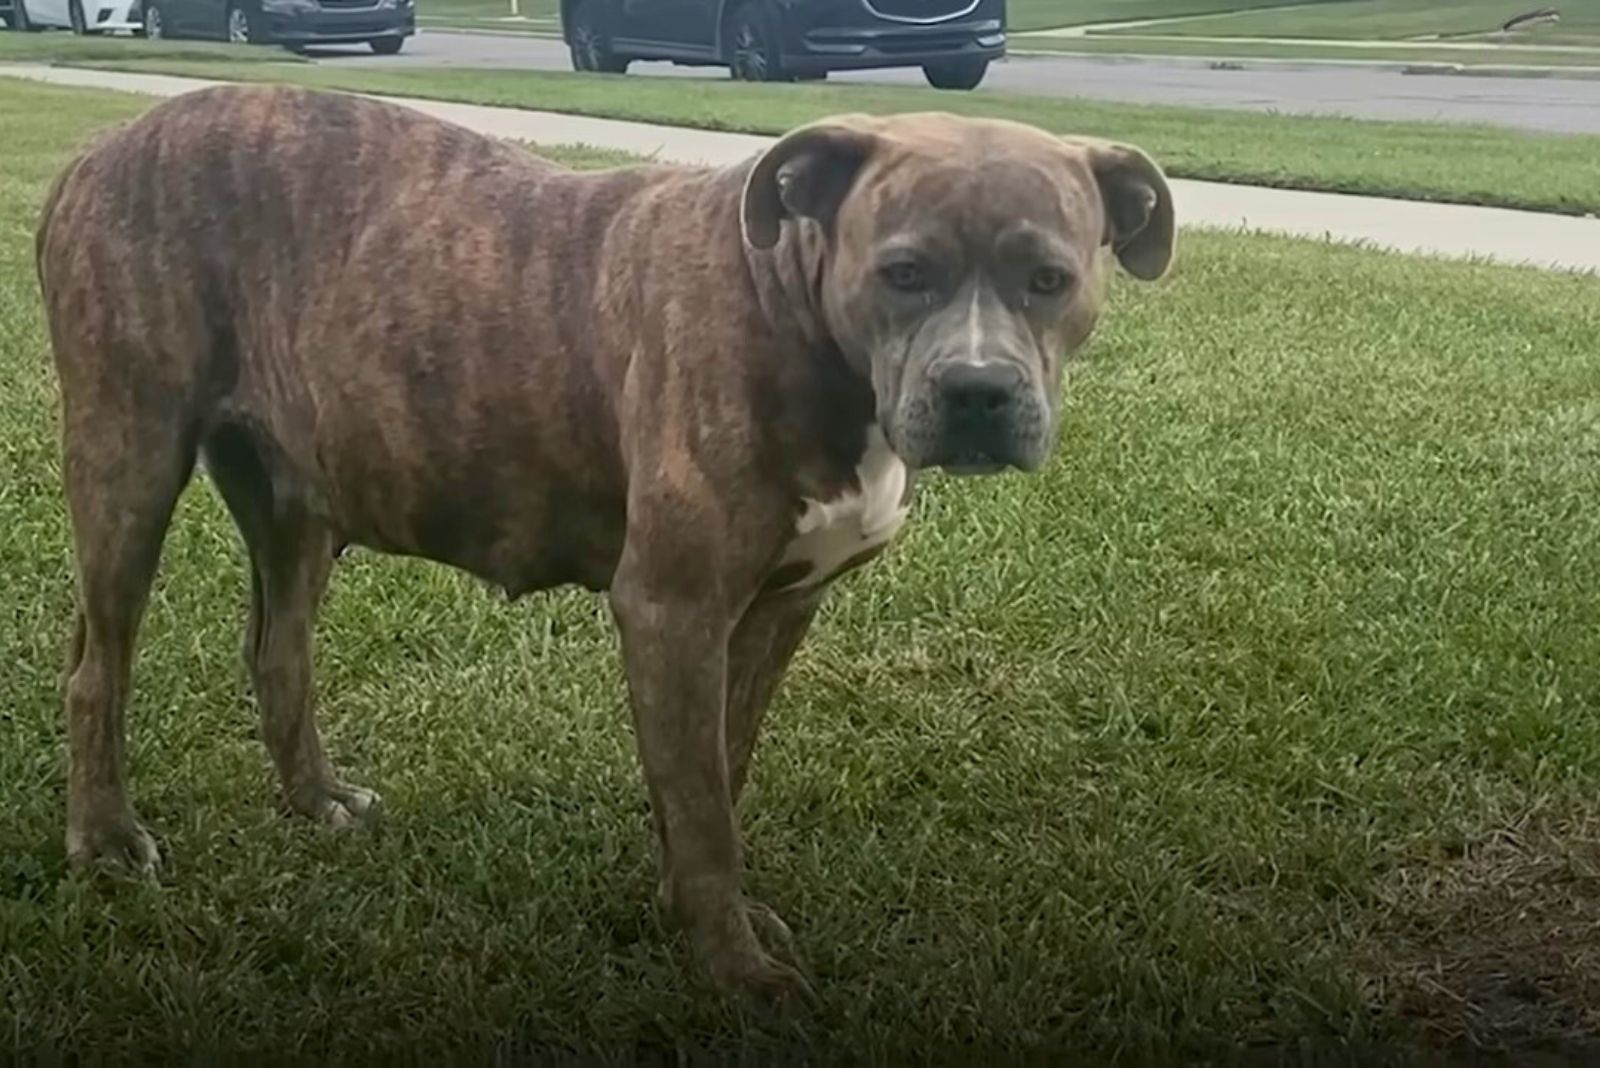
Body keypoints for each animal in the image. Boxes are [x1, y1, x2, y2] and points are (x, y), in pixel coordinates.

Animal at [34, 85, 1177, 1004]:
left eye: (1049, 278)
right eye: (903, 273)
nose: (979, 391)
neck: (796, 315)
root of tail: (98, 148)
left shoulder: (770, 612)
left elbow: (717, 768)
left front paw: (694, 911)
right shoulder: (672, 610)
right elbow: (705, 803)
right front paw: (736, 968)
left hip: (294, 497)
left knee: (279, 651)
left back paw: (315, 798)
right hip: (128, 455)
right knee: (98, 666)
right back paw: (104, 840)